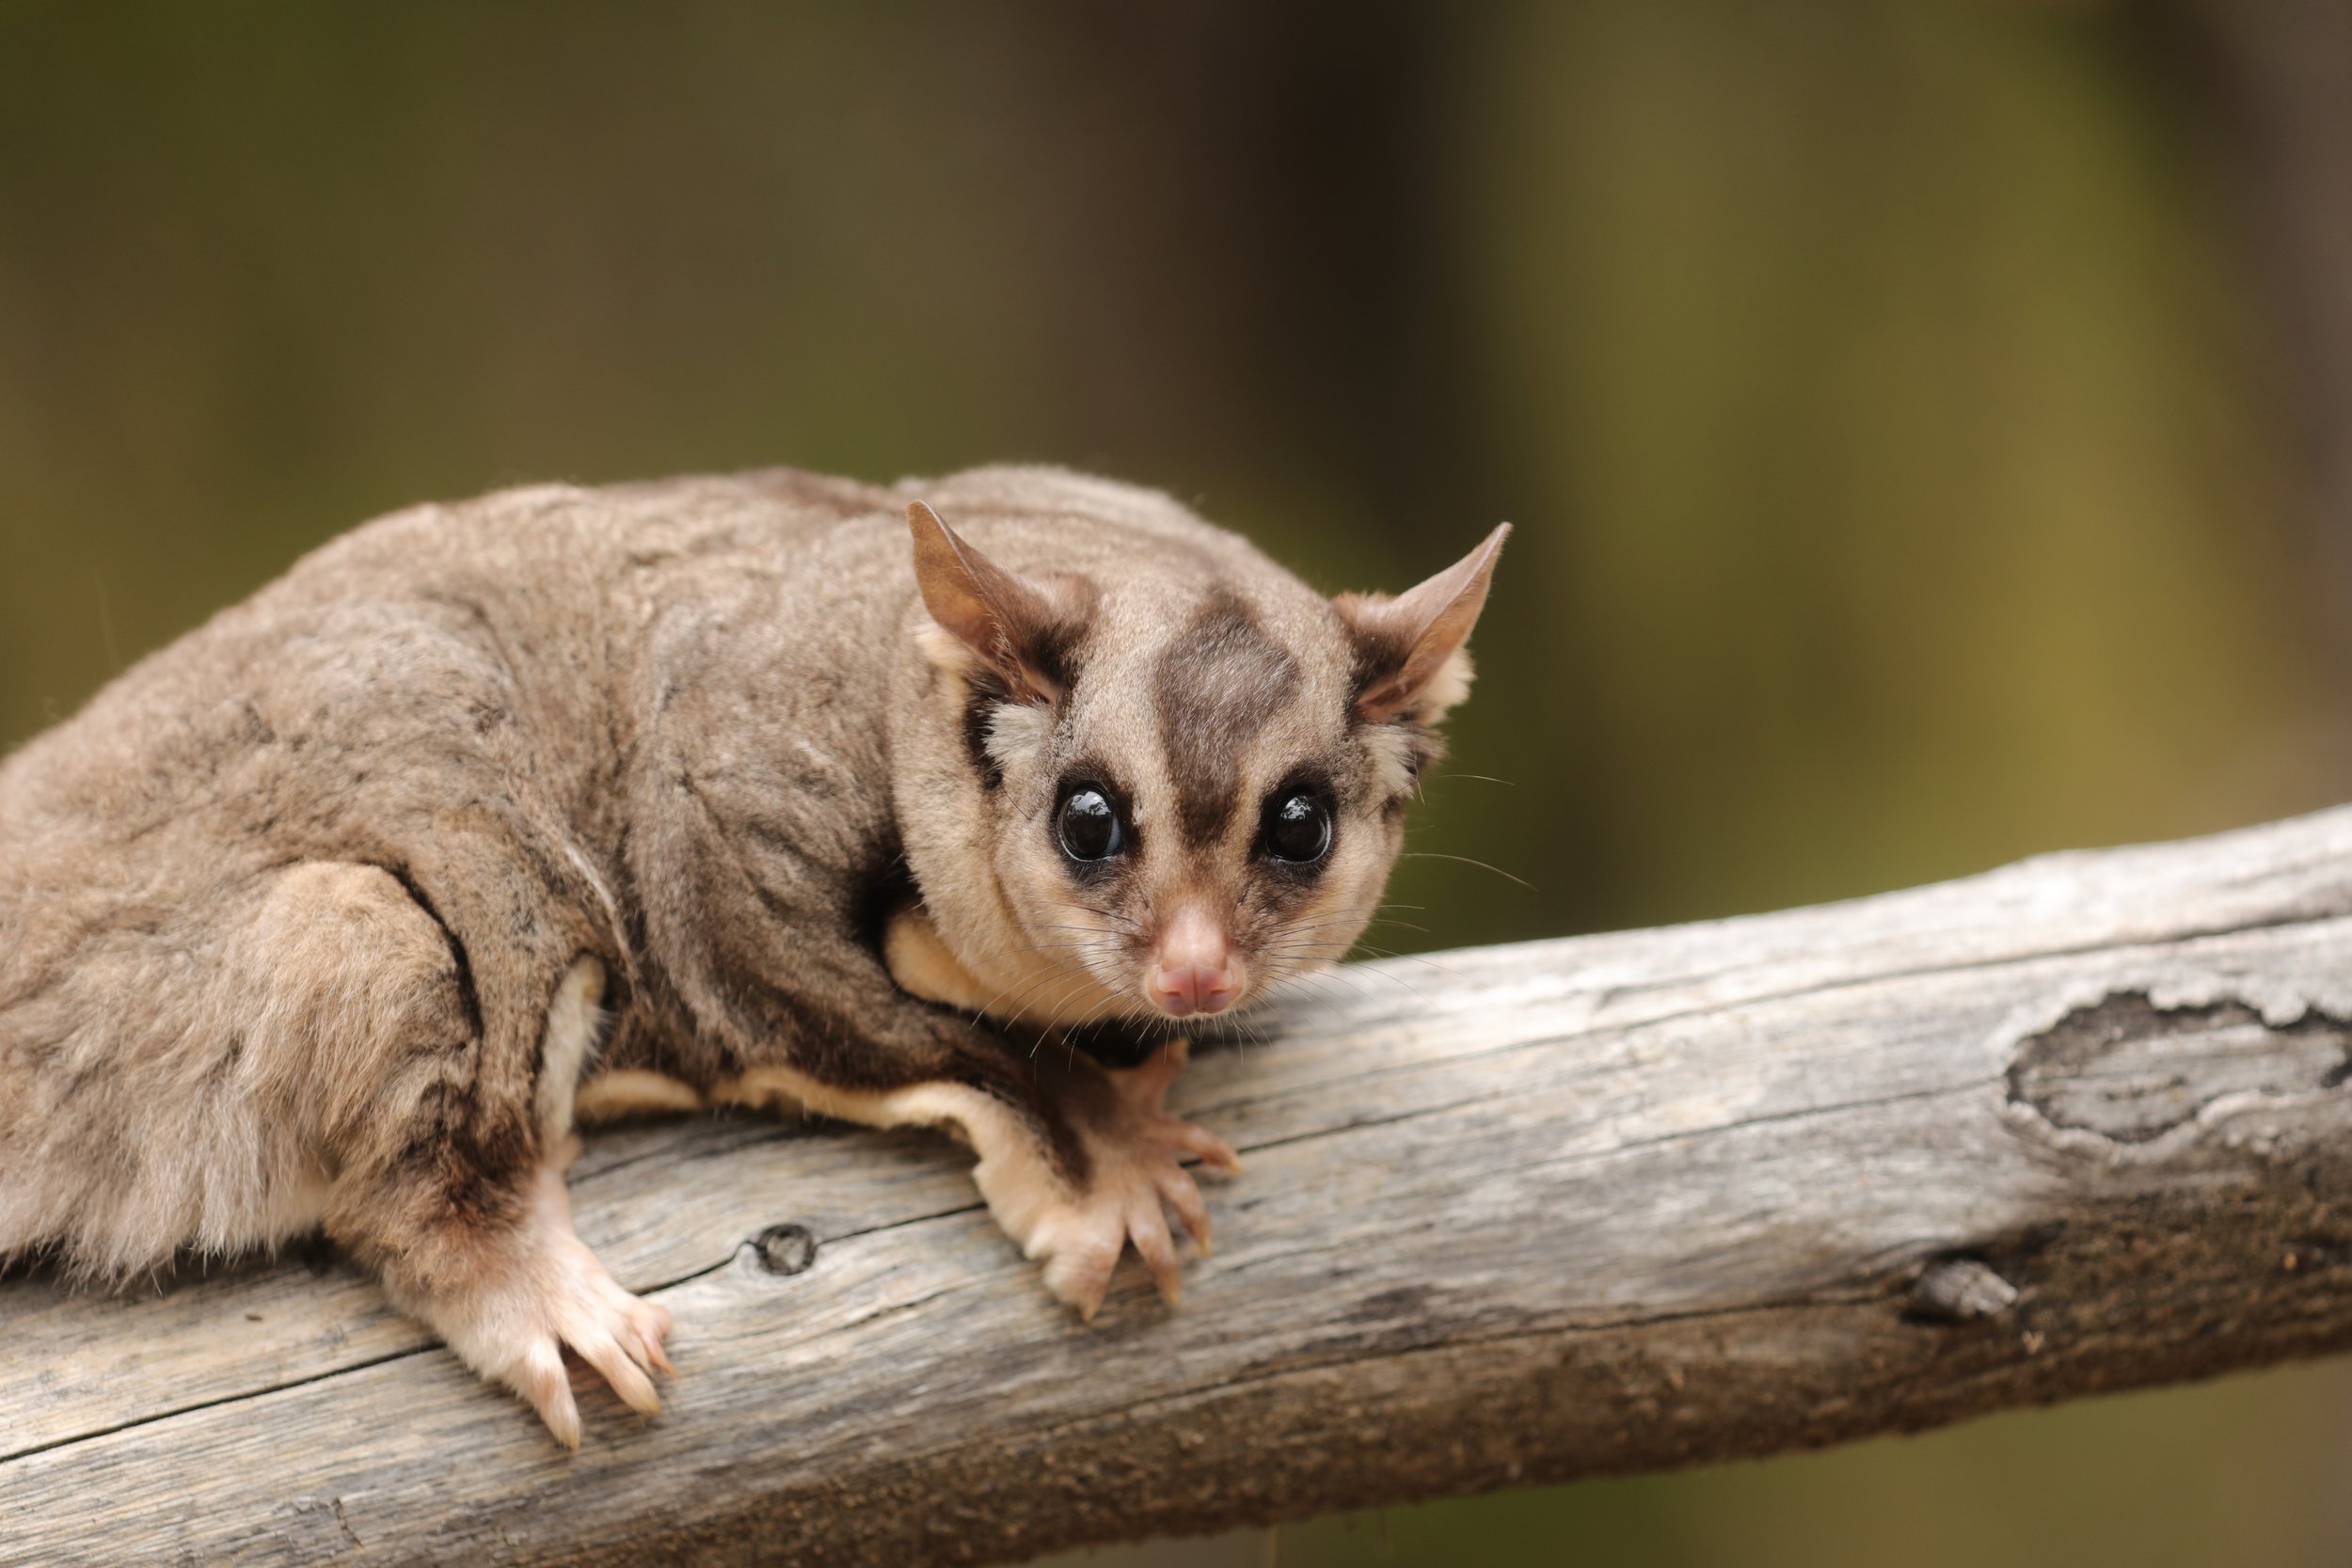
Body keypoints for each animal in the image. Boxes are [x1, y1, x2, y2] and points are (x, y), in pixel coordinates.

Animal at [0, 464, 1505, 1446]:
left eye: (1299, 825)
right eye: (1089, 820)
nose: (1195, 975)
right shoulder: (743, 786)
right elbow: (787, 955)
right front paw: (1097, 1141)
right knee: (426, 933)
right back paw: (526, 1278)